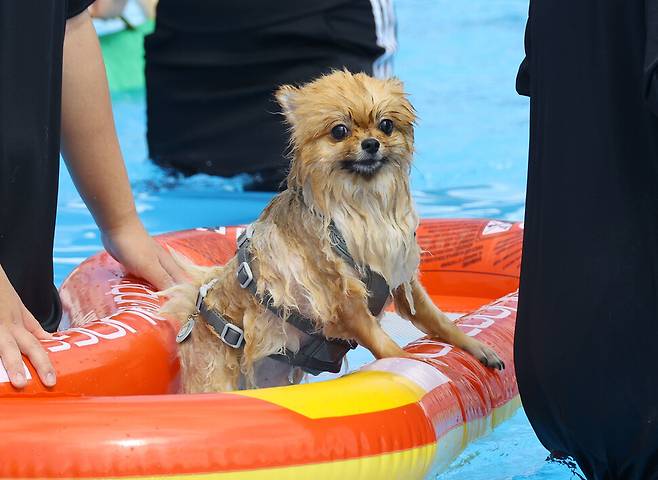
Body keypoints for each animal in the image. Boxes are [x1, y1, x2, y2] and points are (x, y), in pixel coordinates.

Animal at [160, 71, 502, 394]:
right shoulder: (343, 297)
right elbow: (382, 340)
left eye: (386, 125)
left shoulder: (400, 278)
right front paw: (409, 362)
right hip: (216, 376)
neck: (364, 205)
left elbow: (437, 319)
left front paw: (474, 346)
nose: (371, 143)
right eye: (340, 131)